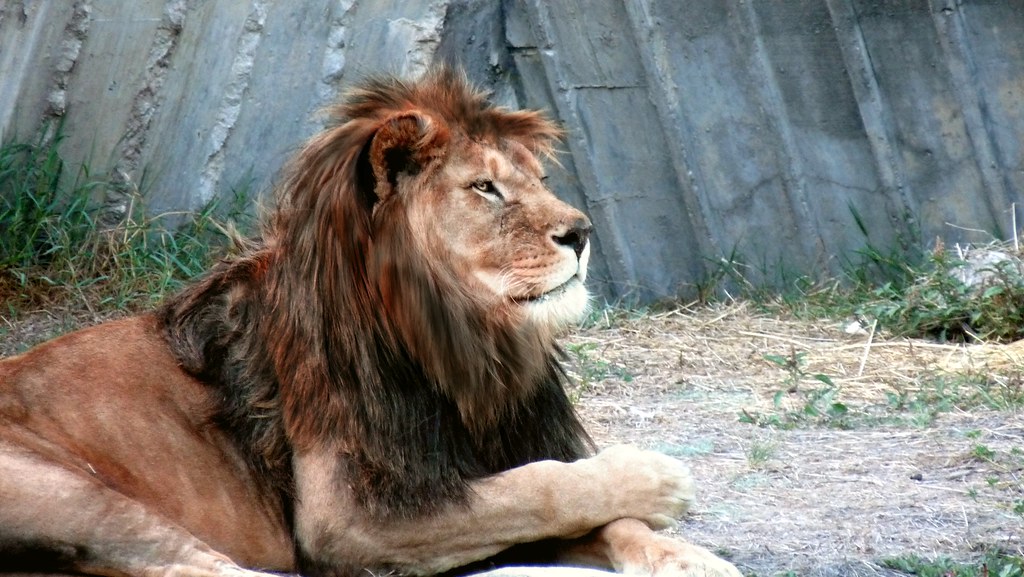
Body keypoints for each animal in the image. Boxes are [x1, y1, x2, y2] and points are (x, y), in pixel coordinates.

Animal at [0, 68, 741, 577]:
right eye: (485, 187)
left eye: (537, 178)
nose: (582, 233)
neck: (465, 350)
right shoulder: (351, 515)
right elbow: (539, 486)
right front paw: (660, 478)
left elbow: (587, 506)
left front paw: (683, 554)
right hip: (73, 492)